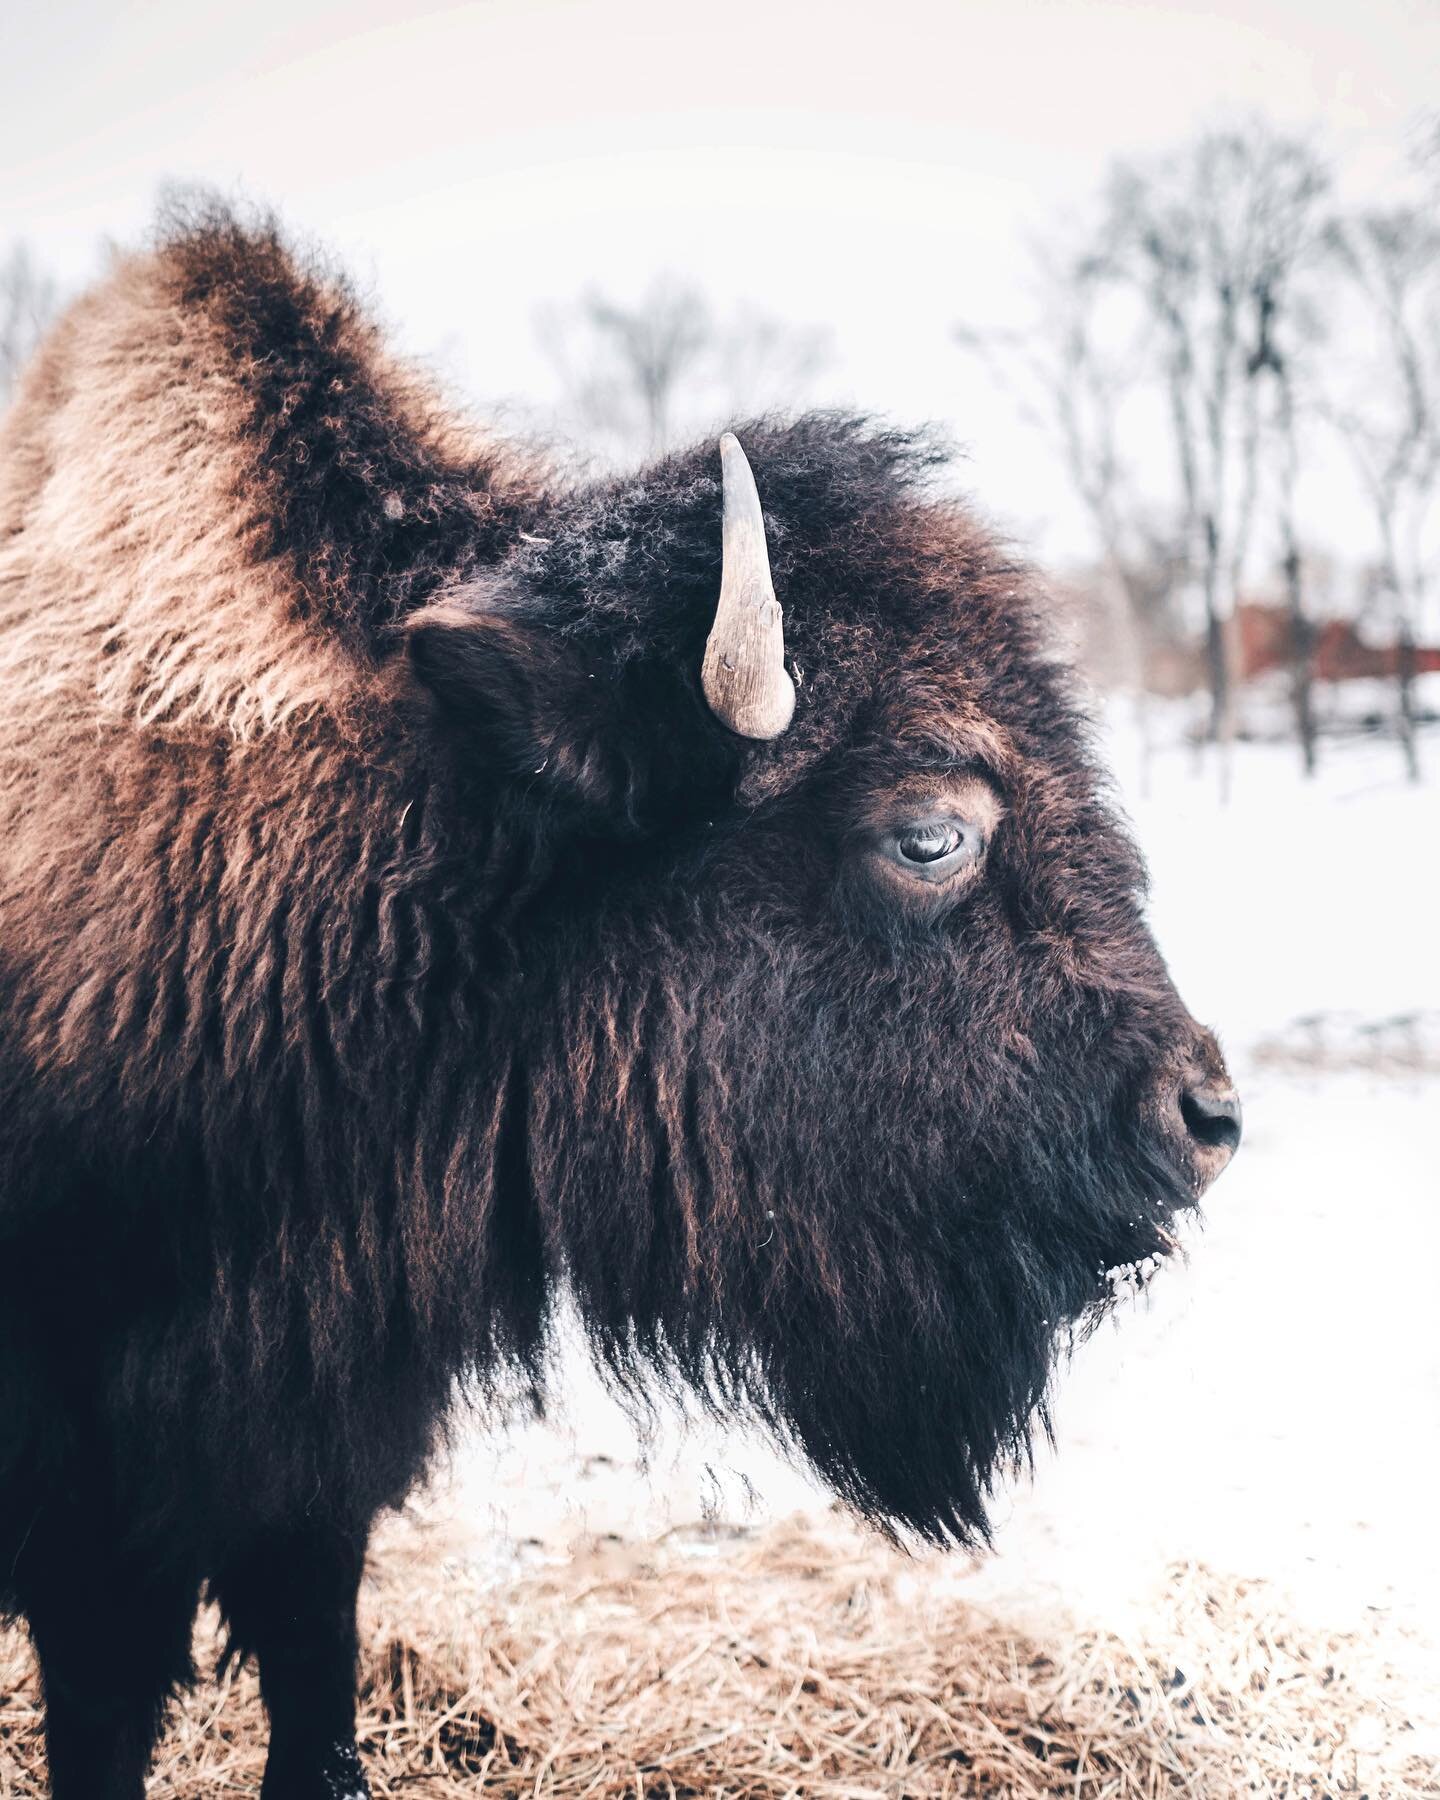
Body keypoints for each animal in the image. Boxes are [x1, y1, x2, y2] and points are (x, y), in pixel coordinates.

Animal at [0, 214, 1238, 1800]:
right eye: (928, 832)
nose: (1203, 1113)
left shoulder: (317, 1453)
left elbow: (312, 1683)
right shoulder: (94, 1517)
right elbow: (108, 1712)